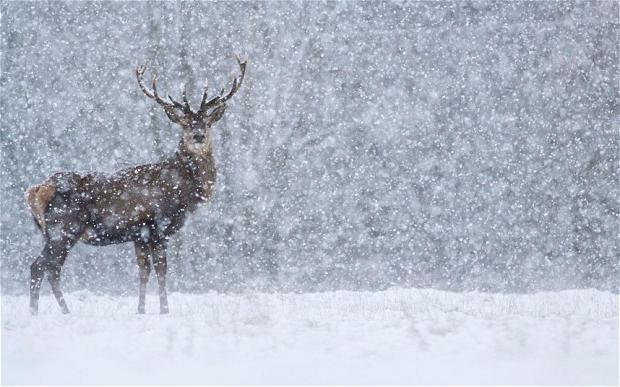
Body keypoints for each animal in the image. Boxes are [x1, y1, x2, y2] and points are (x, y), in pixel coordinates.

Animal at [24, 56, 247, 316]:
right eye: (184, 124)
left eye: (207, 123)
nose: (198, 136)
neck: (182, 191)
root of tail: (36, 191)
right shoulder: (158, 224)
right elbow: (161, 269)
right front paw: (164, 310)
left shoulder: (139, 234)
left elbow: (144, 271)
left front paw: (141, 310)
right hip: (64, 227)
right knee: (42, 267)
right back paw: (57, 312)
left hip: (55, 232)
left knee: (45, 268)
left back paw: (43, 312)